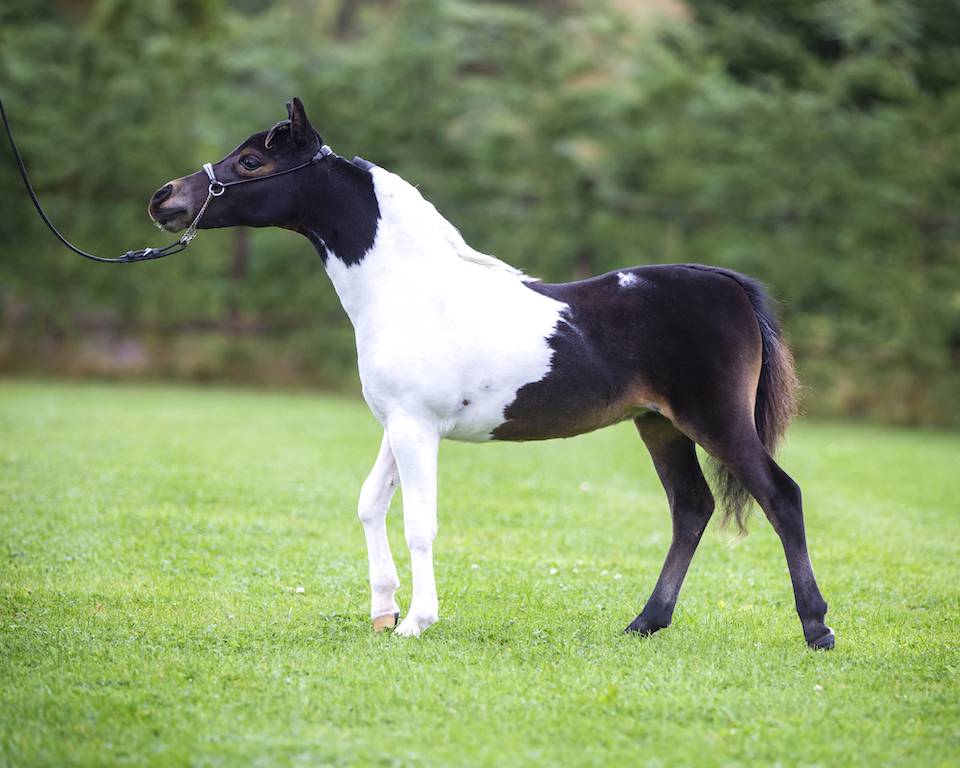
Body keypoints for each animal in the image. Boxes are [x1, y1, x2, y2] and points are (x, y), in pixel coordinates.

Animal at [148, 98, 834, 650]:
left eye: (250, 163)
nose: (165, 199)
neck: (407, 290)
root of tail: (727, 284)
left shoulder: (417, 430)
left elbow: (418, 523)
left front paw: (415, 622)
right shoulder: (398, 425)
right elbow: (372, 503)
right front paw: (382, 611)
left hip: (715, 420)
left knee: (781, 497)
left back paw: (816, 627)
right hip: (659, 425)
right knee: (691, 508)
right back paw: (646, 623)